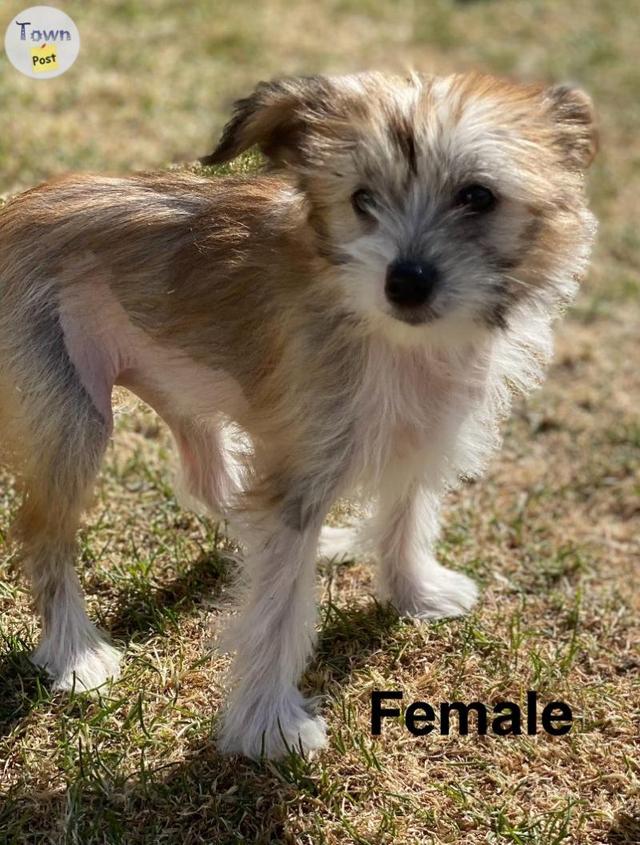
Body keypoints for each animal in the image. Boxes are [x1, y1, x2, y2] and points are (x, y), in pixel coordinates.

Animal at [0, 72, 596, 760]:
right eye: (362, 199)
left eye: (477, 196)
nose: (405, 283)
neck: (392, 335)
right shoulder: (298, 483)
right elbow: (278, 611)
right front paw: (270, 727)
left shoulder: (422, 432)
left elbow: (406, 514)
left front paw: (414, 592)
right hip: (73, 422)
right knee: (45, 539)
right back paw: (77, 655)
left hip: (178, 387)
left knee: (211, 482)